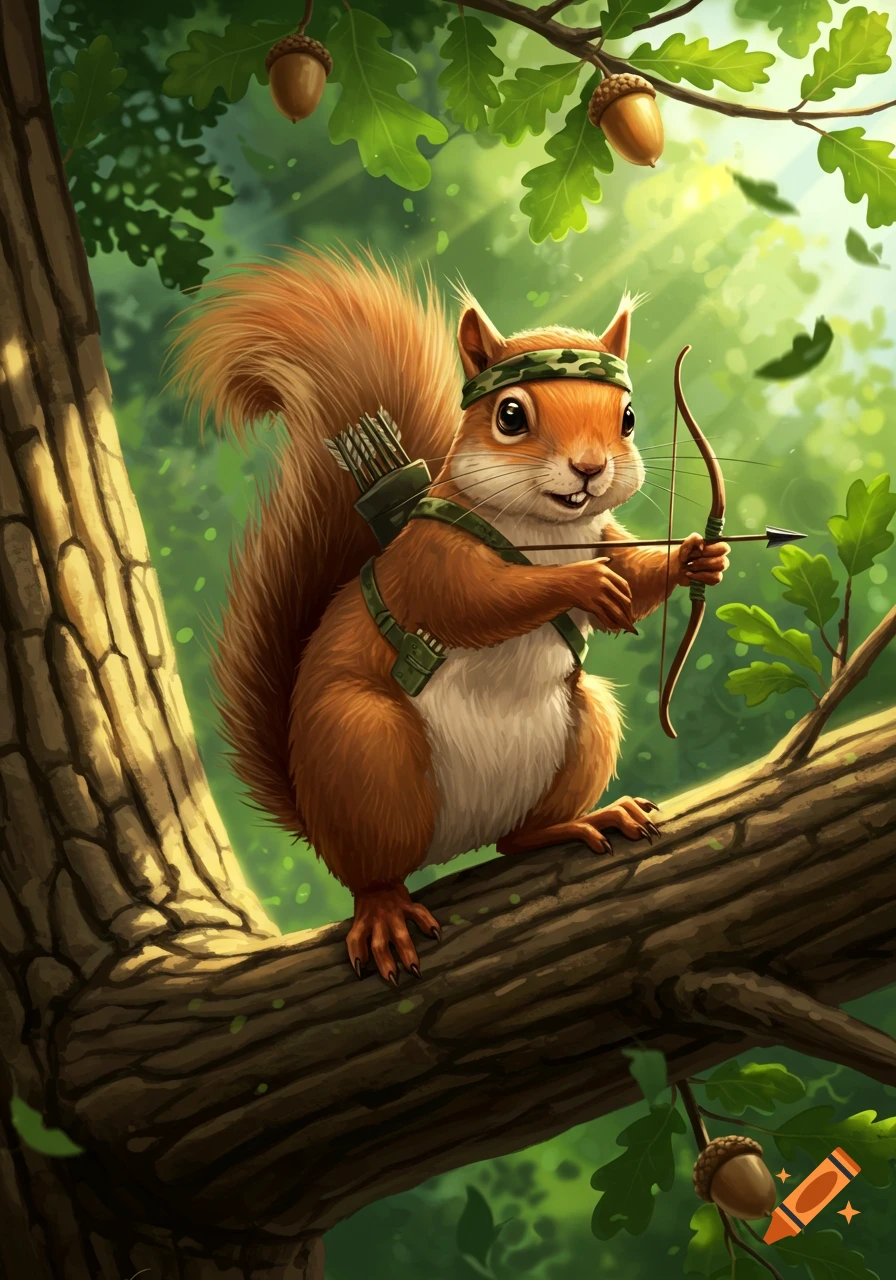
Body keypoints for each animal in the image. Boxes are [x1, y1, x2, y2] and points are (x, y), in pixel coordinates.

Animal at [172, 246, 730, 984]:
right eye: (511, 415)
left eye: (630, 419)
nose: (589, 470)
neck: (545, 531)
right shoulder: (429, 560)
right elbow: (475, 601)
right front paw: (582, 584)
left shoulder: (606, 534)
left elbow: (635, 583)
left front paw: (698, 557)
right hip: (366, 750)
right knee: (373, 874)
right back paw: (384, 913)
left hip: (586, 722)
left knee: (516, 838)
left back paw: (585, 821)